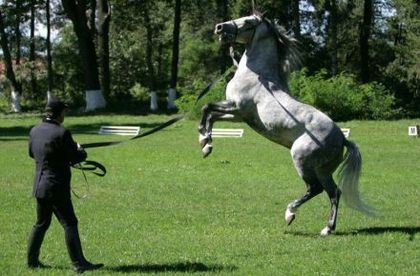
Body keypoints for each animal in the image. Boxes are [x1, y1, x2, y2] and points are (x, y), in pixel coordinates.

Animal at [198, 12, 374, 236]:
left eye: (248, 22)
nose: (220, 28)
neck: (257, 77)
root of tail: (342, 138)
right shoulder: (239, 115)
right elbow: (211, 115)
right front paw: (205, 144)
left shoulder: (237, 107)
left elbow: (207, 107)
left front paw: (204, 139)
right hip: (323, 170)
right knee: (334, 192)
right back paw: (327, 229)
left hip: (300, 159)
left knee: (315, 188)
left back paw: (290, 214)